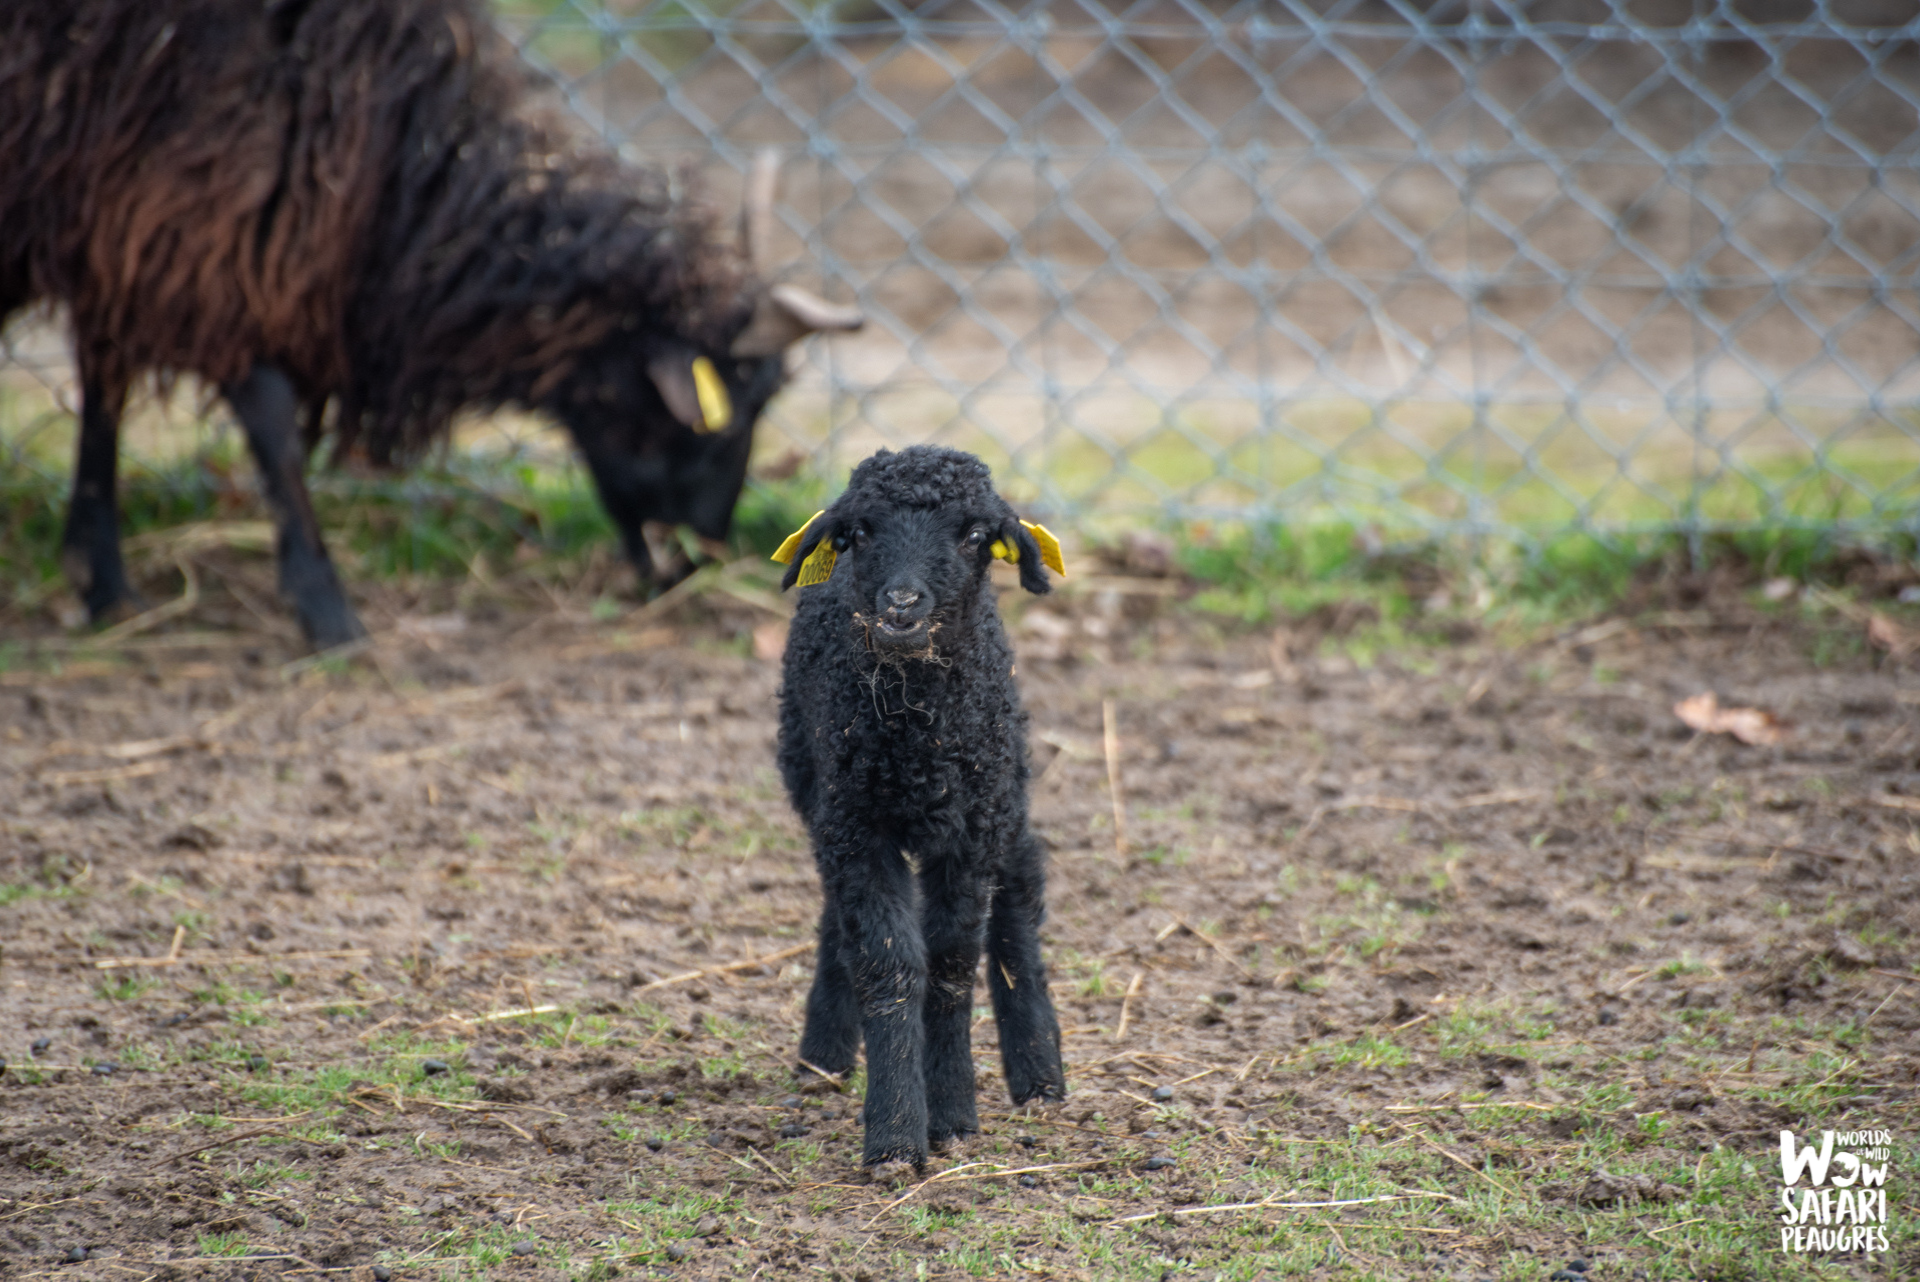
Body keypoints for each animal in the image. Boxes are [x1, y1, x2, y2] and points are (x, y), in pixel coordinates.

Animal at [0, 0, 860, 644]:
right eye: (725, 419)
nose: (696, 561)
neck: (396, 174)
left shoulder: (124, 228)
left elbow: (104, 388)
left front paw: (100, 580)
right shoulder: (206, 225)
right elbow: (268, 422)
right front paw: (326, 611)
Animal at [771, 445, 1075, 1174]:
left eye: (975, 534)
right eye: (857, 533)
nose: (902, 606)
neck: (915, 736)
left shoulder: (972, 828)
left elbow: (951, 962)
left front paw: (955, 1114)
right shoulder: (855, 824)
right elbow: (887, 962)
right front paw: (895, 1136)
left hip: (1007, 783)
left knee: (1019, 892)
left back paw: (1039, 1074)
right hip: (813, 779)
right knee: (837, 917)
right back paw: (823, 1056)